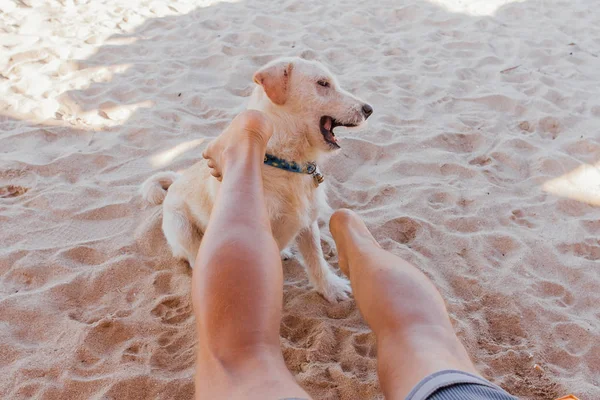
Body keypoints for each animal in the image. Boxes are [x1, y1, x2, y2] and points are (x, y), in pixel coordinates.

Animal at [142, 55, 372, 300]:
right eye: (322, 83)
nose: (369, 109)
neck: (284, 162)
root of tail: (176, 181)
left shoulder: (308, 223)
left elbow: (316, 259)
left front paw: (331, 288)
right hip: (181, 226)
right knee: (194, 256)